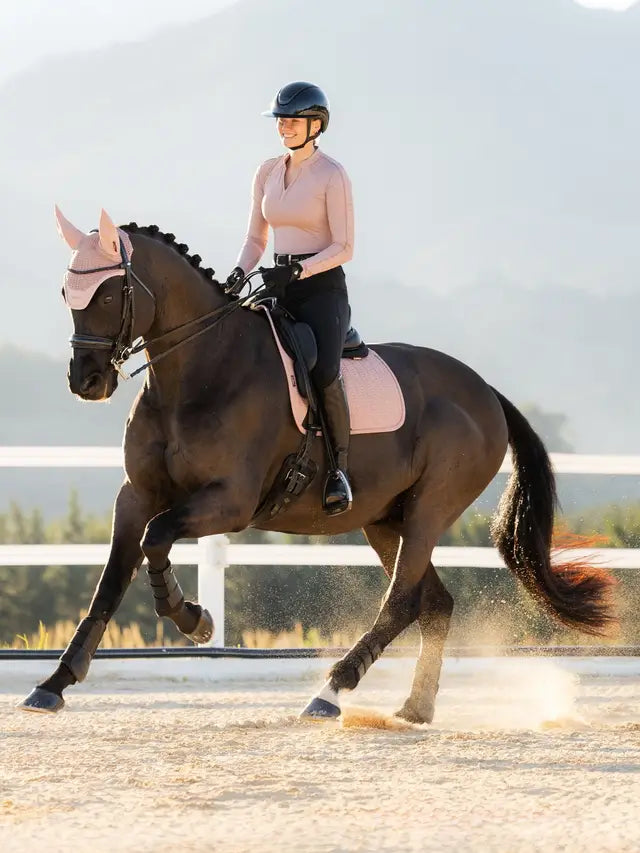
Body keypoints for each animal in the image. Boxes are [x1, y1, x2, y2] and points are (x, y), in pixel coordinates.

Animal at [19, 208, 616, 720]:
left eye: (108, 292)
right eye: (66, 292)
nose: (86, 381)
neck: (199, 371)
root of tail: (486, 392)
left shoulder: (229, 502)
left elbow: (156, 539)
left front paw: (196, 620)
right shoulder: (136, 494)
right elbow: (111, 579)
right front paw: (54, 683)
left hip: (428, 510)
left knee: (402, 603)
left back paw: (330, 692)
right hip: (385, 520)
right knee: (435, 604)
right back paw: (415, 708)